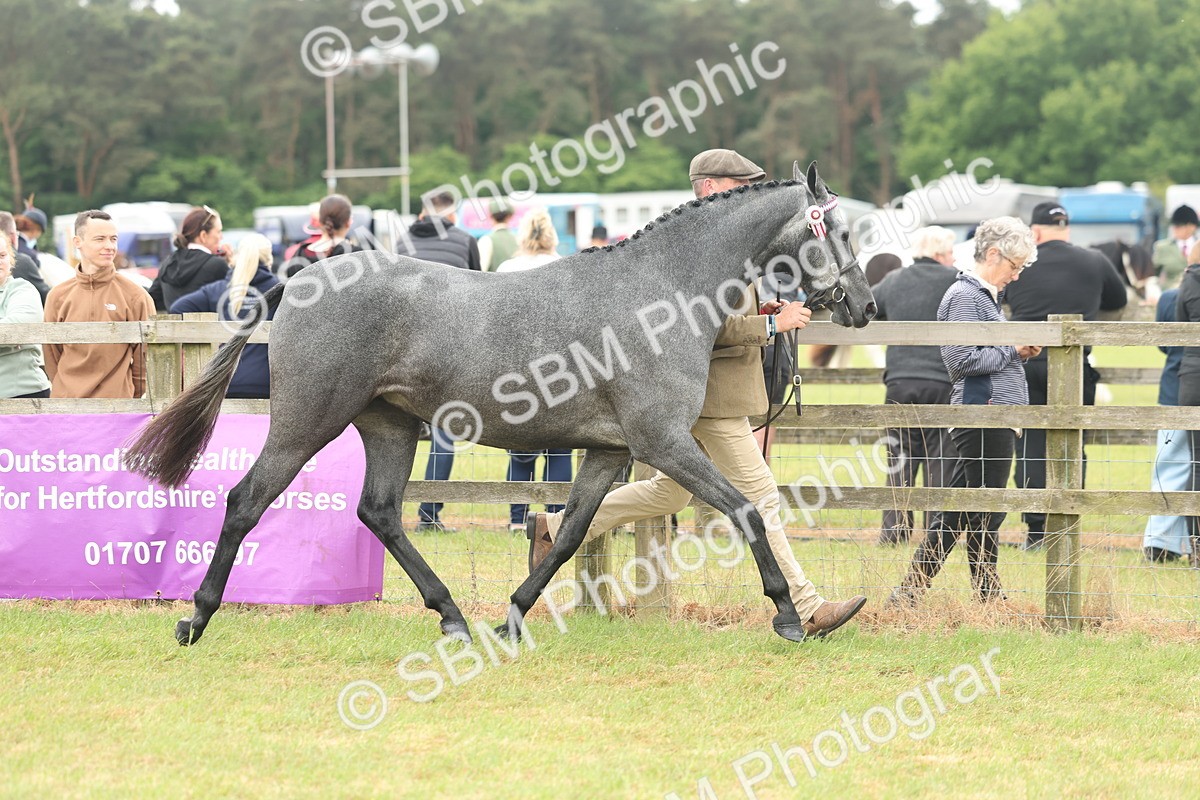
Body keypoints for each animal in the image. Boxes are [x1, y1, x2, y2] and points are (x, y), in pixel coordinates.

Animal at [124, 162, 876, 647]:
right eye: (840, 233)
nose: (865, 307)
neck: (659, 292)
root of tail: (302, 278)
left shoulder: (610, 450)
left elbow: (570, 533)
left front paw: (511, 619)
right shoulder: (663, 441)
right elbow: (746, 507)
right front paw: (788, 616)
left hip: (390, 426)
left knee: (380, 512)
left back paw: (454, 617)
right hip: (305, 422)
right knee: (245, 501)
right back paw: (195, 619)